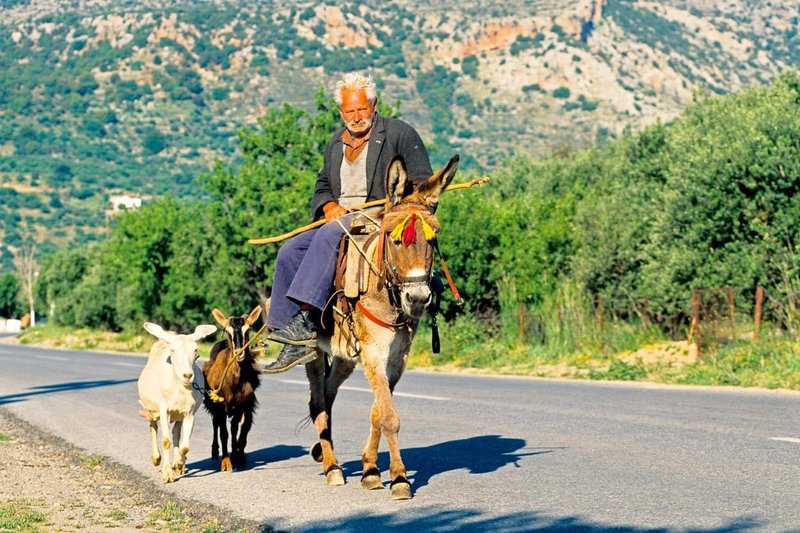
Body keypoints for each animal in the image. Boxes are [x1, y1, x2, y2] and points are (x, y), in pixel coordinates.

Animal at [138, 320, 217, 482]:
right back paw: (156, 458)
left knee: (176, 433)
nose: (187, 375)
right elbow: (166, 440)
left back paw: (178, 463)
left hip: (179, 415)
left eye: (195, 350)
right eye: (172, 350)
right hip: (152, 409)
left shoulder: (189, 413)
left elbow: (184, 445)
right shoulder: (164, 409)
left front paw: (179, 463)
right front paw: (167, 473)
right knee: (153, 427)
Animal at [203, 304, 262, 470]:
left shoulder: (243, 402)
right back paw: (215, 452)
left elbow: (238, 427)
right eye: (228, 331)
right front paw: (226, 462)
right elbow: (223, 432)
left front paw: (238, 455)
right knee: (216, 423)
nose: (239, 353)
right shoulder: (220, 403)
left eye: (247, 330)